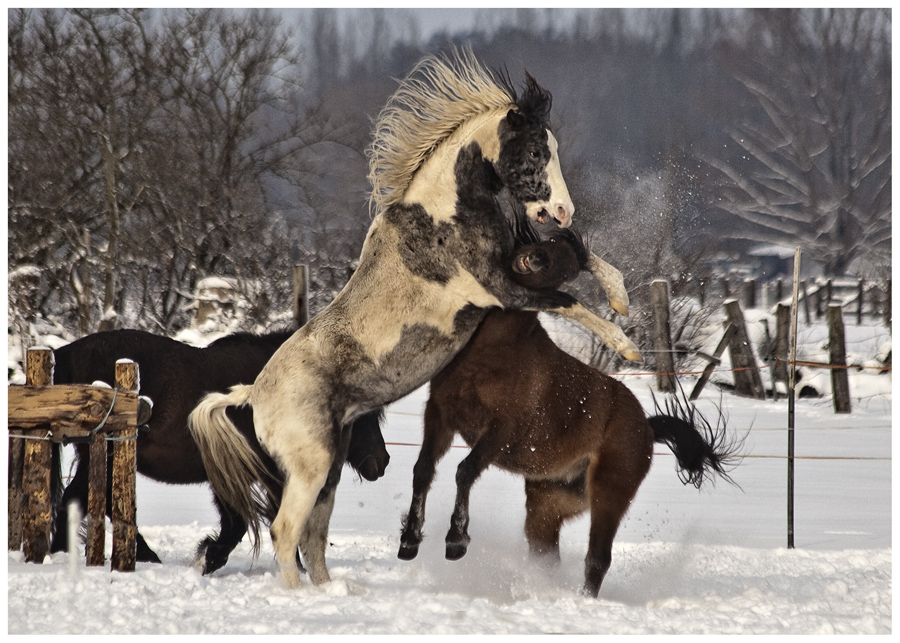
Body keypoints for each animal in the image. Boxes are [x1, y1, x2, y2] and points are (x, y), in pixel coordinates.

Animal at [47, 330, 388, 576]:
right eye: (364, 416)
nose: (381, 462)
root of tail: (65, 353)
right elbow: (244, 524)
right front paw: (209, 558)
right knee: (84, 500)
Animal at [188, 50, 640, 592]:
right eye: (534, 152)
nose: (562, 210)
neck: (442, 214)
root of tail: (253, 394)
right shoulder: (503, 289)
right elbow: (568, 299)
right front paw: (628, 344)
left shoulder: (520, 260)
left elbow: (586, 261)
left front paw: (621, 298)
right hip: (311, 467)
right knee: (285, 531)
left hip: (331, 468)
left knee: (313, 536)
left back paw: (333, 592)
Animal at [400, 221, 740, 600]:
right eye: (549, 240)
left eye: (567, 272)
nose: (534, 259)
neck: (492, 354)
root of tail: (647, 428)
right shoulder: (440, 415)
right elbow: (423, 469)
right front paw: (409, 540)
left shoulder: (501, 431)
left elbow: (465, 470)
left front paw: (456, 540)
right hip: (546, 505)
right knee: (547, 557)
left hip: (609, 493)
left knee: (597, 559)